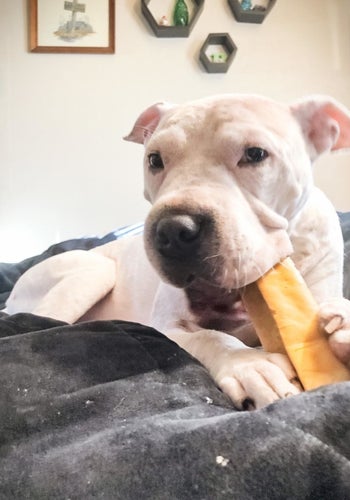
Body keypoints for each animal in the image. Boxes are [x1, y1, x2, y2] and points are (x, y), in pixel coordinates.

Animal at [5, 94, 350, 410]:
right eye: (154, 160)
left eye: (255, 154)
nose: (173, 231)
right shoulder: (167, 327)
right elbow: (211, 337)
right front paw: (249, 365)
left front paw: (343, 321)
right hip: (92, 272)